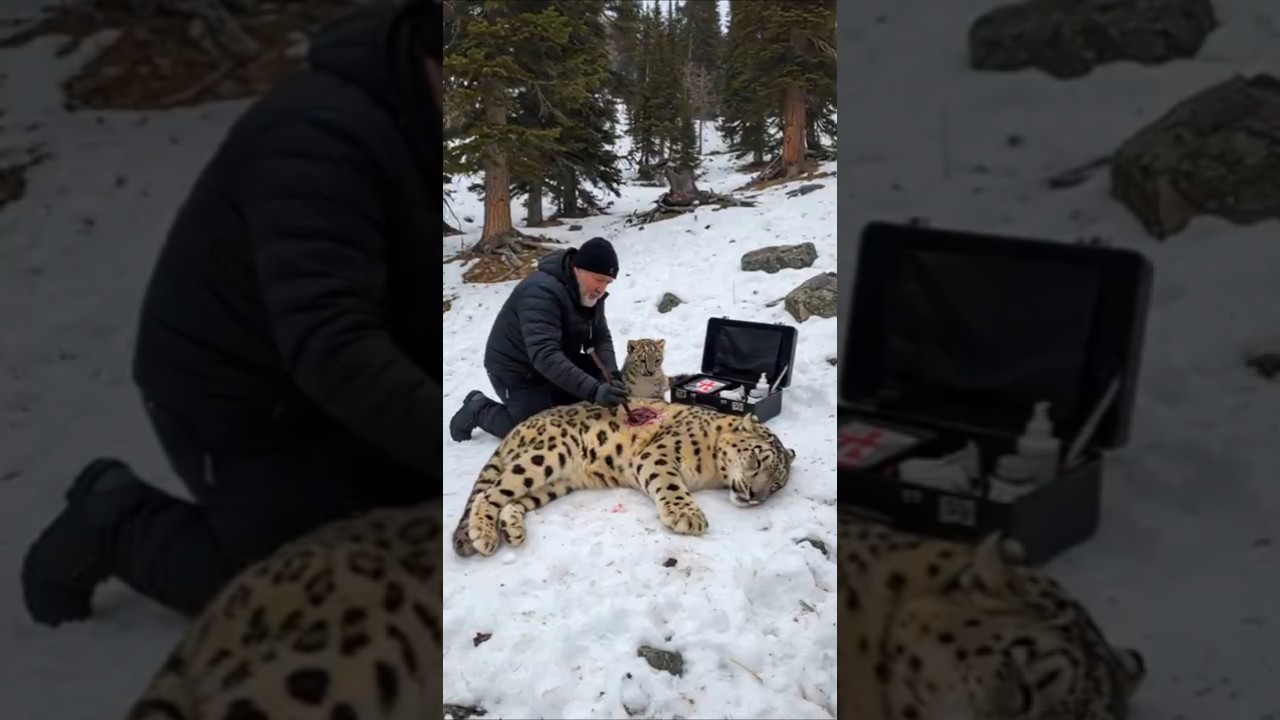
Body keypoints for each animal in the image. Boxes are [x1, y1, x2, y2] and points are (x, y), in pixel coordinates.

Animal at [450, 398, 795, 557]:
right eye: (756, 460)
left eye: (776, 484)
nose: (755, 495)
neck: (712, 473)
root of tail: (518, 428)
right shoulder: (660, 454)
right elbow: (670, 484)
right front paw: (687, 516)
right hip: (549, 454)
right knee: (489, 493)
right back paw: (484, 535)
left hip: (557, 482)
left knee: (513, 499)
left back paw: (512, 529)